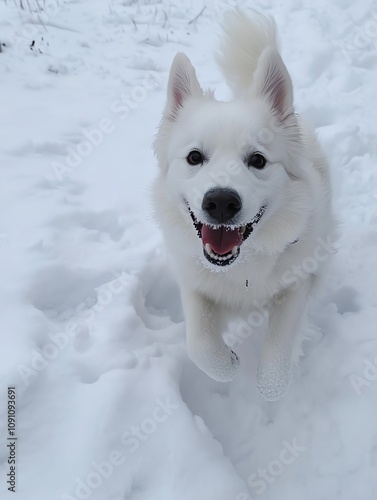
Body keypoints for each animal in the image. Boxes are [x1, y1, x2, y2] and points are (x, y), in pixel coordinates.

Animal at [153, 9, 334, 400]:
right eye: (194, 157)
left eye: (258, 160)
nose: (221, 202)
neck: (240, 266)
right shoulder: (193, 282)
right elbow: (200, 344)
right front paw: (228, 365)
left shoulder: (298, 281)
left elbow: (277, 357)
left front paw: (270, 386)